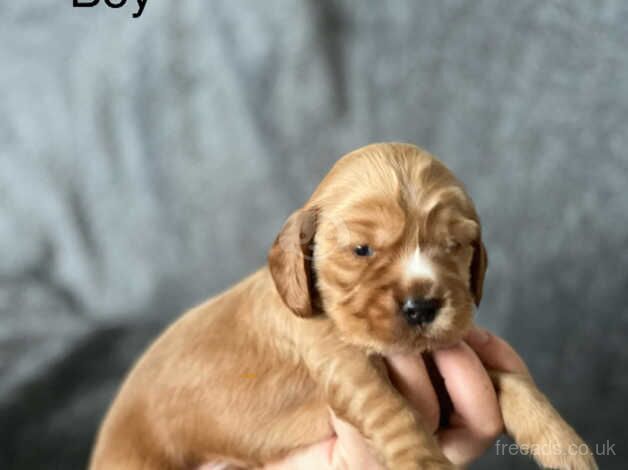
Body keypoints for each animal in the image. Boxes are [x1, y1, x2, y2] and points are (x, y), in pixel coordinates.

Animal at [89, 143, 600, 470]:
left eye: (454, 245)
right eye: (361, 250)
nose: (422, 307)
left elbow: (512, 383)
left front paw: (566, 446)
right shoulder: (342, 364)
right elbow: (390, 410)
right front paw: (425, 463)